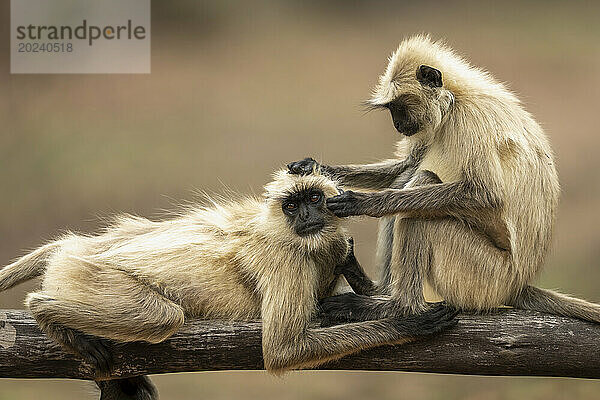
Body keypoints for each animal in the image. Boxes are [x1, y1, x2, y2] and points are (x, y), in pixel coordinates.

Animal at [0, 169, 458, 400]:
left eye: (314, 199)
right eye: (292, 205)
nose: (307, 217)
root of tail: (74, 249)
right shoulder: (287, 258)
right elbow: (282, 350)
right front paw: (407, 323)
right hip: (88, 274)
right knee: (159, 317)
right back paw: (46, 313)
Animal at [288, 35, 600, 324]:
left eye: (398, 107)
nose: (397, 124)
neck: (456, 97)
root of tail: (517, 284)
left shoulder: (471, 118)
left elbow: (485, 194)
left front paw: (366, 203)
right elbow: (405, 165)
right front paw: (312, 167)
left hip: (484, 276)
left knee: (421, 197)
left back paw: (400, 307)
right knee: (408, 178)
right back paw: (376, 290)